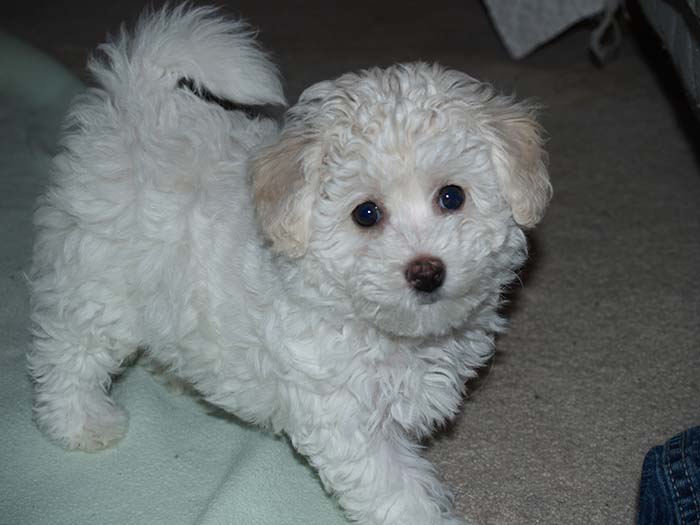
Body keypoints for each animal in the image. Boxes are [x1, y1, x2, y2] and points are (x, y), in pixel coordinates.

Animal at [28, 5, 552, 524]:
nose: (426, 272)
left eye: (452, 196)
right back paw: (81, 422)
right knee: (68, 353)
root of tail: (139, 105)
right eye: (366, 213)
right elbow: (396, 490)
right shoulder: (345, 416)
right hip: (99, 281)